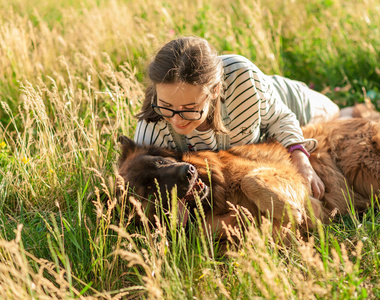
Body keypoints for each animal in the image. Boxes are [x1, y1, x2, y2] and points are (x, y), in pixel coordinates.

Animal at [119, 118, 380, 238]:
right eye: (150, 190)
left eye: (160, 162)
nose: (188, 172)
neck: (219, 193)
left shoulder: (290, 175)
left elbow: (250, 180)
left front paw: (291, 211)